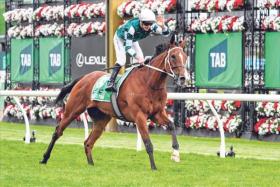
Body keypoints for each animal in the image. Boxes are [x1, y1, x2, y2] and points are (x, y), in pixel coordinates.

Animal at [40, 36, 188, 169]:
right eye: (173, 56)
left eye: (185, 57)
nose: (183, 78)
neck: (149, 83)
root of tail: (84, 78)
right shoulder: (139, 116)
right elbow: (148, 143)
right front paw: (154, 167)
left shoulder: (156, 114)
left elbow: (171, 125)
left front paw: (175, 154)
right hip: (73, 110)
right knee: (58, 131)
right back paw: (44, 158)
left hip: (101, 119)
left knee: (88, 142)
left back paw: (91, 165)